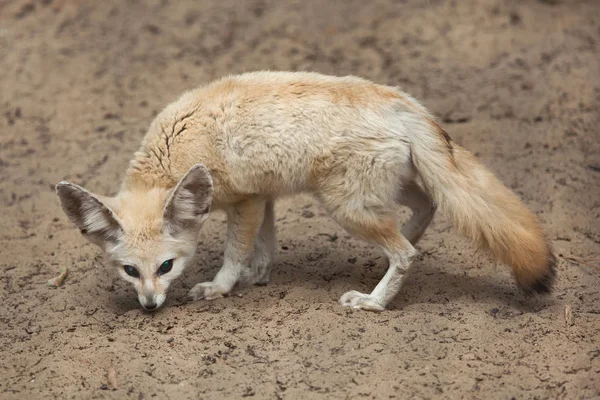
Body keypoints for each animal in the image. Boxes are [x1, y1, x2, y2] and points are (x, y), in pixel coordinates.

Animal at [54, 70, 556, 310]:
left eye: (166, 266)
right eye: (129, 272)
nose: (150, 306)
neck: (175, 147)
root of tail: (403, 101)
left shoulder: (246, 201)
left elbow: (236, 251)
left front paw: (222, 287)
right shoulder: (263, 197)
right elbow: (264, 245)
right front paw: (257, 276)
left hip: (346, 206)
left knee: (406, 253)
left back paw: (375, 302)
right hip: (382, 192)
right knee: (427, 208)